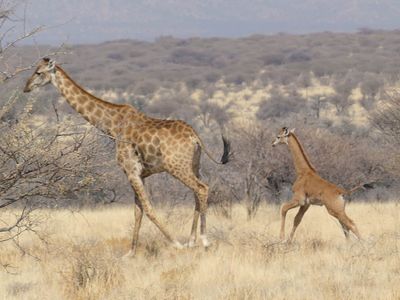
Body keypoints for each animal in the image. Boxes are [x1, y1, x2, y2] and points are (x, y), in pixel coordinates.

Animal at [24, 57, 231, 256]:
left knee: (202, 188)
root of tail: (195, 137)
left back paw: (204, 241)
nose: (26, 87)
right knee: (197, 192)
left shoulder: (130, 171)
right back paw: (191, 241)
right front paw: (131, 253)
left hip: (176, 166)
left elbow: (147, 208)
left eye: (38, 72)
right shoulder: (140, 174)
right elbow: (137, 211)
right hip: (194, 165)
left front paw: (176, 245)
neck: (113, 125)